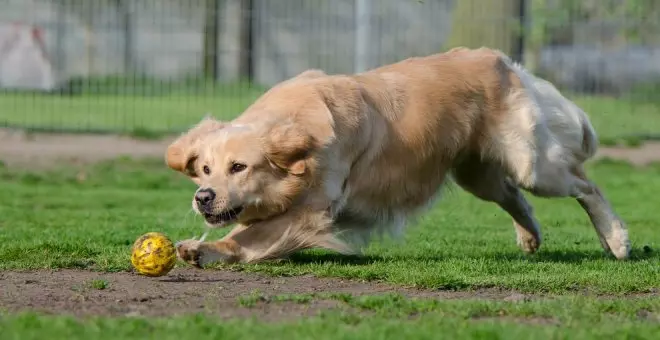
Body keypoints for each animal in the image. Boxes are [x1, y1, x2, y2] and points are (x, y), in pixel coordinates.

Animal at [164, 46, 628, 266]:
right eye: (204, 169)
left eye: (239, 167)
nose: (203, 197)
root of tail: (501, 59)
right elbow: (248, 232)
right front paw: (202, 248)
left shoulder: (311, 212)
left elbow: (248, 235)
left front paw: (207, 249)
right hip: (477, 173)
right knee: (516, 196)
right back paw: (530, 237)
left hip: (532, 164)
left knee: (585, 184)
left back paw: (617, 239)